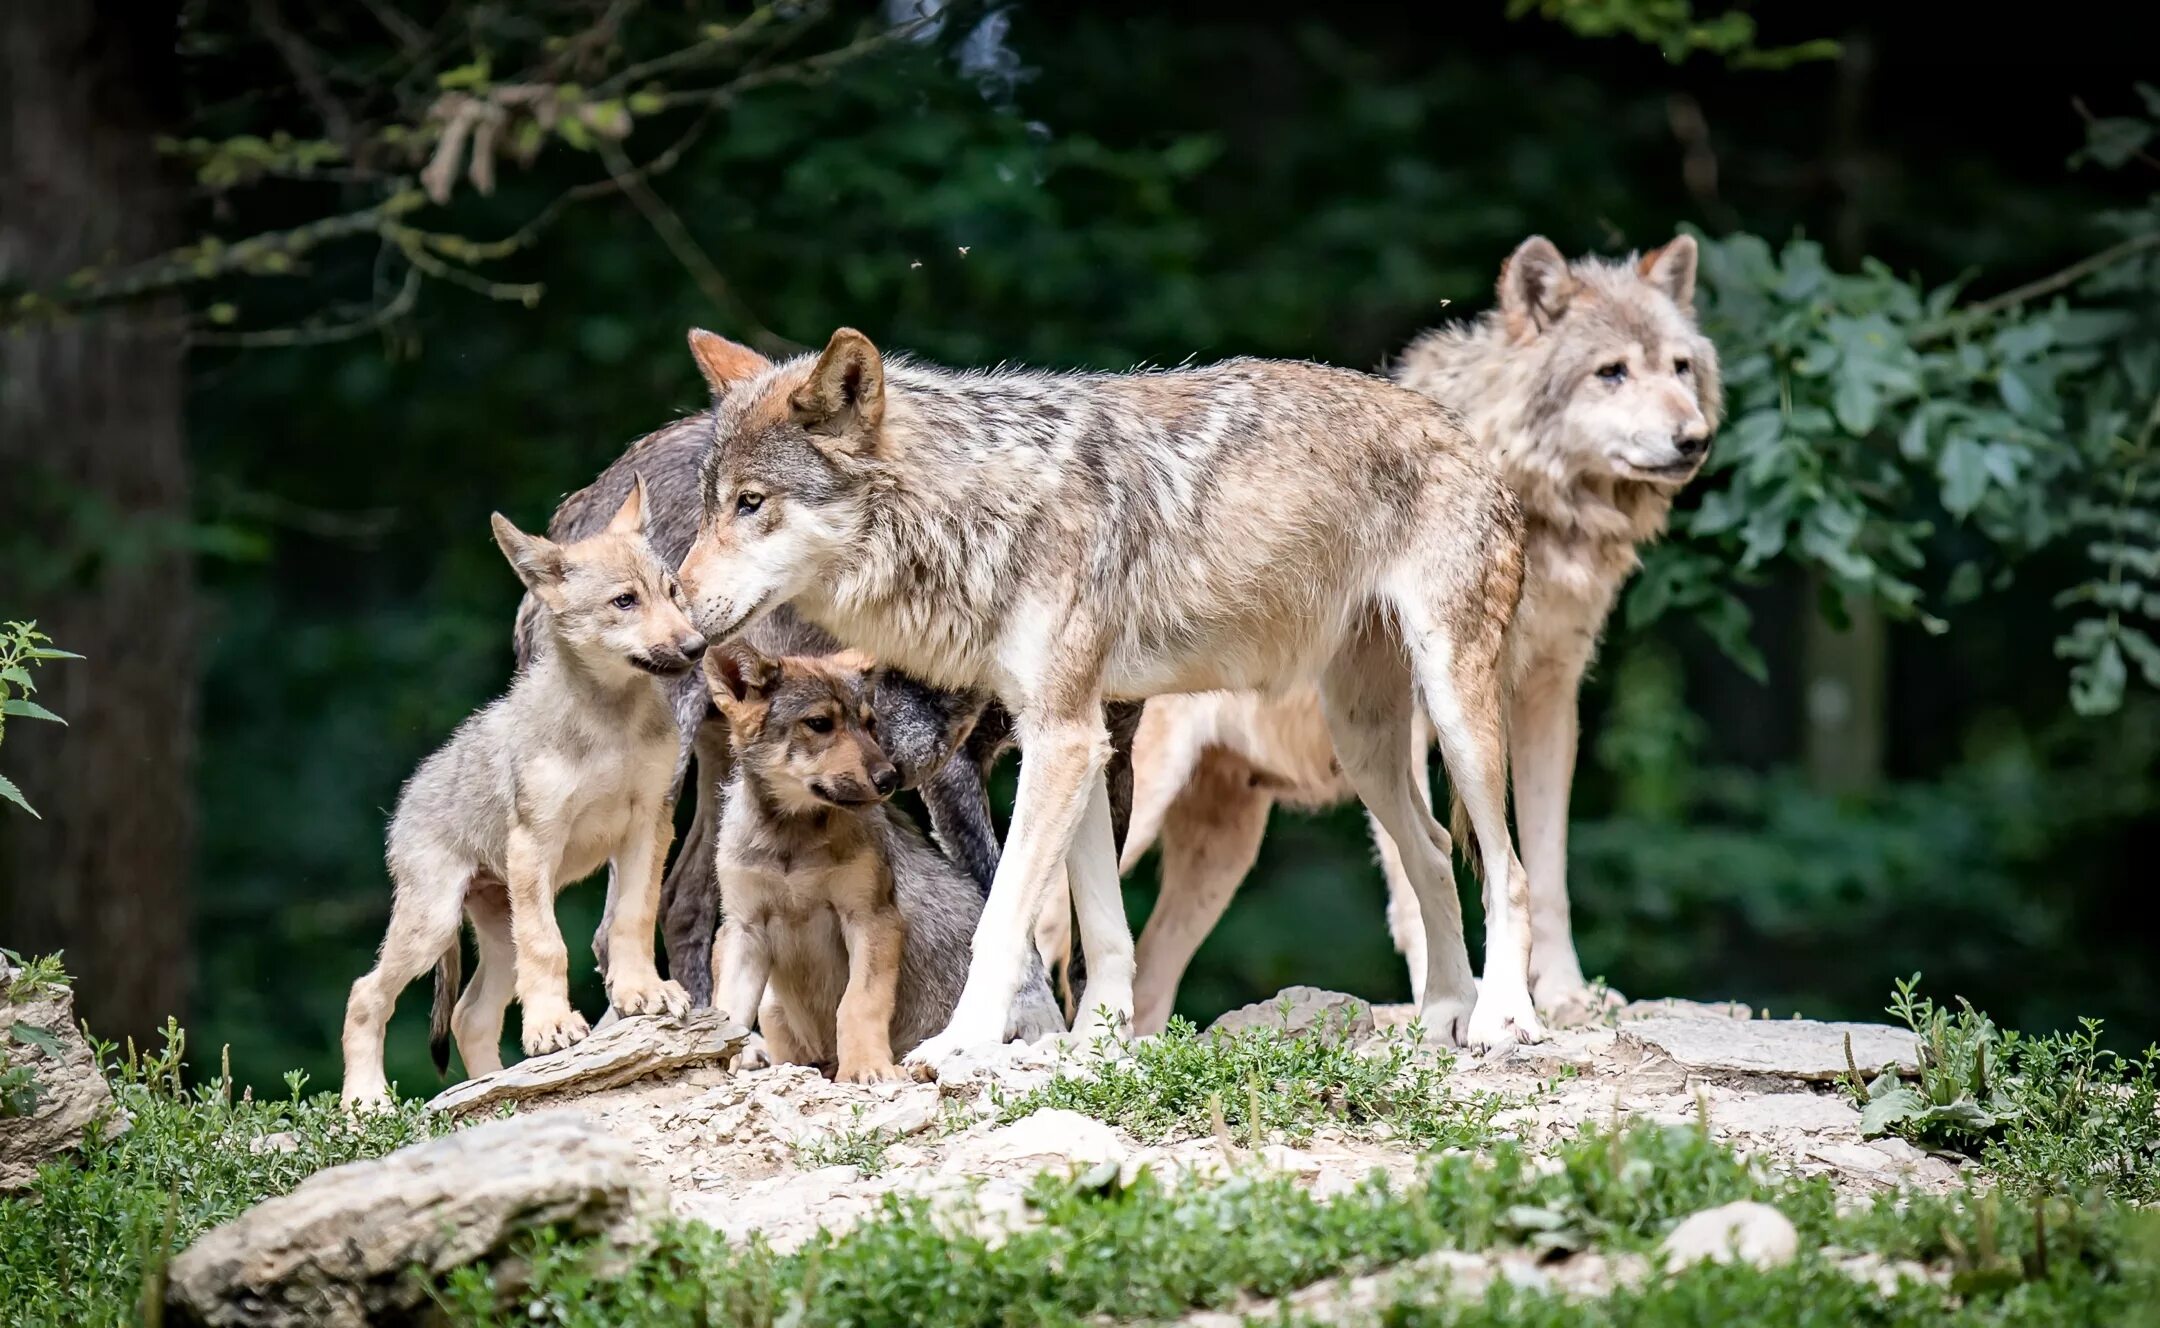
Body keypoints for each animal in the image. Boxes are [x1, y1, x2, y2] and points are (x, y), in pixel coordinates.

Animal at [339, 483, 691, 1105]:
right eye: (625, 601)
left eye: (672, 593)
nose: (696, 646)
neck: (611, 724)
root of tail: (404, 801)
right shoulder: (536, 844)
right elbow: (551, 947)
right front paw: (552, 1027)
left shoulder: (650, 826)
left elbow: (632, 918)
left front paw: (642, 992)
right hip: (435, 923)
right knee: (366, 994)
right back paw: (364, 1102)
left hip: (497, 934)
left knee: (468, 1017)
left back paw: (496, 1090)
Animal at [704, 643, 1067, 1079]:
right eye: (819, 724)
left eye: (869, 724)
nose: (889, 779)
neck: (791, 842)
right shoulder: (744, 928)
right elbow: (728, 1014)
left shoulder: (870, 918)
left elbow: (859, 1003)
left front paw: (867, 1068)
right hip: (773, 1005)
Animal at [1114, 234, 1719, 1032]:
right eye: (1611, 372)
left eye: (1679, 367)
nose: (1694, 439)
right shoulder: (1418, 724)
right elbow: (1418, 879)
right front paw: (1447, 1000)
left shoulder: (1548, 698)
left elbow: (1546, 867)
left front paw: (1561, 996)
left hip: (1225, 846)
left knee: (1149, 975)